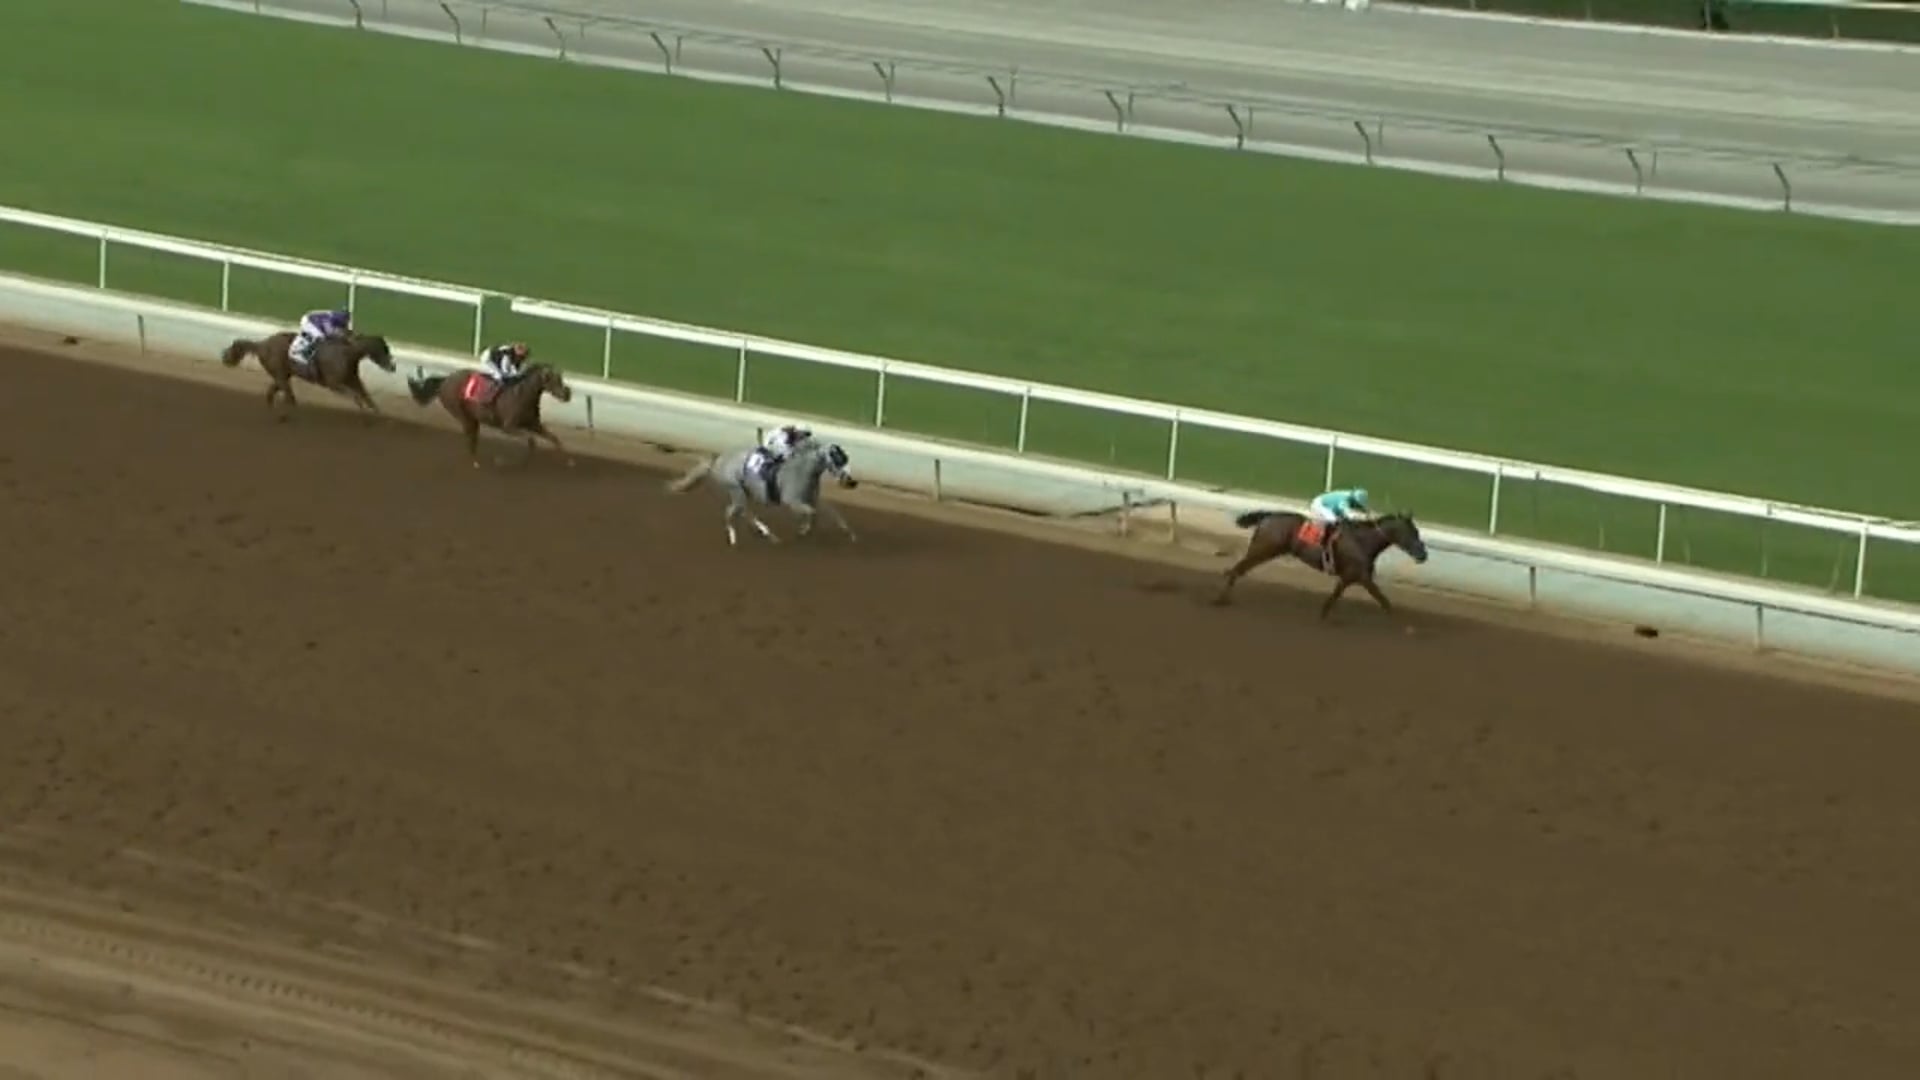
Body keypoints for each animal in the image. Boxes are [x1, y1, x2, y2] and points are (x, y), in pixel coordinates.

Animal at [220, 330, 395, 420]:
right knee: (289, 398)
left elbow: (366, 396)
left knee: (272, 393)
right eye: (383, 350)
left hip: (283, 375)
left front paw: (379, 415)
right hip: (280, 375)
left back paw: (275, 413)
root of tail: (262, 344)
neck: (347, 354)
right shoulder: (334, 384)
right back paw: (287, 415)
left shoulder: (353, 380)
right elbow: (357, 397)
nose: (393, 366)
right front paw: (365, 413)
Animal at [404, 363, 575, 468]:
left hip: (472, 418)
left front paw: (569, 461)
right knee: (470, 439)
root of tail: (445, 380)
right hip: (462, 414)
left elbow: (555, 439)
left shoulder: (534, 424)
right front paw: (504, 461)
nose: (567, 395)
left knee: (472, 439)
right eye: (552, 379)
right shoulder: (508, 427)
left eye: (561, 378)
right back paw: (475, 463)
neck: (522, 394)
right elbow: (531, 440)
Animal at [666, 438, 859, 546]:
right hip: (736, 490)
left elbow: (833, 513)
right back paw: (736, 538)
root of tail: (718, 459)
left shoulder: (813, 498)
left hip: (745, 492)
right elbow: (813, 513)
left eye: (846, 458)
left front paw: (850, 535)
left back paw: (767, 535)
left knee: (742, 513)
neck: (803, 471)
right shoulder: (793, 501)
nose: (851, 481)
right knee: (735, 512)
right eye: (837, 459)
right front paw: (804, 529)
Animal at [1214, 510, 1429, 620]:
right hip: (1263, 549)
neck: (1363, 541)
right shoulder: (1362, 576)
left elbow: (1335, 596)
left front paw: (1323, 614)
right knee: (1237, 570)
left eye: (1417, 532)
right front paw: (1402, 624)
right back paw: (1220, 599)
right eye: (1412, 533)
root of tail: (1268, 516)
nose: (1423, 555)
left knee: (1237, 569)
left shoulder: (1350, 577)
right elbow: (1383, 600)